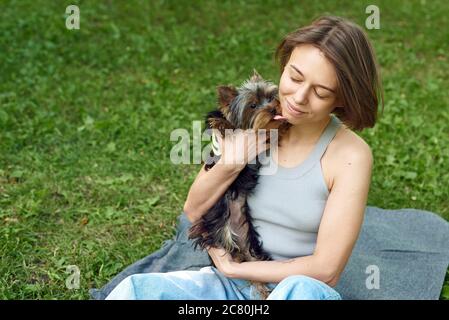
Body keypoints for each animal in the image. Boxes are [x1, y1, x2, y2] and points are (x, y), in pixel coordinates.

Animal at [188, 69, 290, 298]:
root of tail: (241, 246)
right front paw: (221, 123)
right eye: (252, 105)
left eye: (271, 97)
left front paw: (284, 125)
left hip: (254, 253)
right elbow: (225, 124)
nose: (273, 108)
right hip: (220, 232)